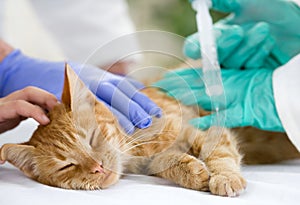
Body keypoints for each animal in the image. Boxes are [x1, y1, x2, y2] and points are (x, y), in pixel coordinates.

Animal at [0, 64, 298, 197]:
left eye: (93, 139)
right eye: (67, 166)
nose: (97, 167)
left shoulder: (204, 129)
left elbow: (220, 155)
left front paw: (225, 177)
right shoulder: (154, 160)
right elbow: (167, 162)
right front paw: (192, 172)